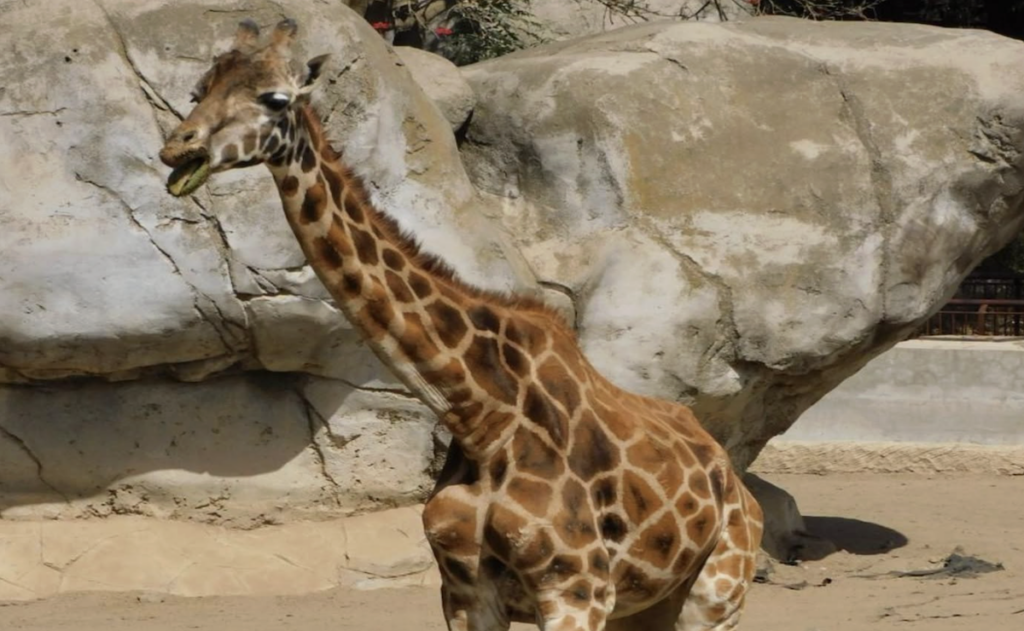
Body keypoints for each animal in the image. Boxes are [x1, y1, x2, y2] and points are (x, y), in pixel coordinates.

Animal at [158, 18, 763, 631]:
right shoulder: (465, 590)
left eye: (274, 99)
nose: (178, 148)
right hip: (643, 608)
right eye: (199, 90)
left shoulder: (576, 588)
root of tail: (734, 479)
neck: (480, 417)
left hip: (715, 593)